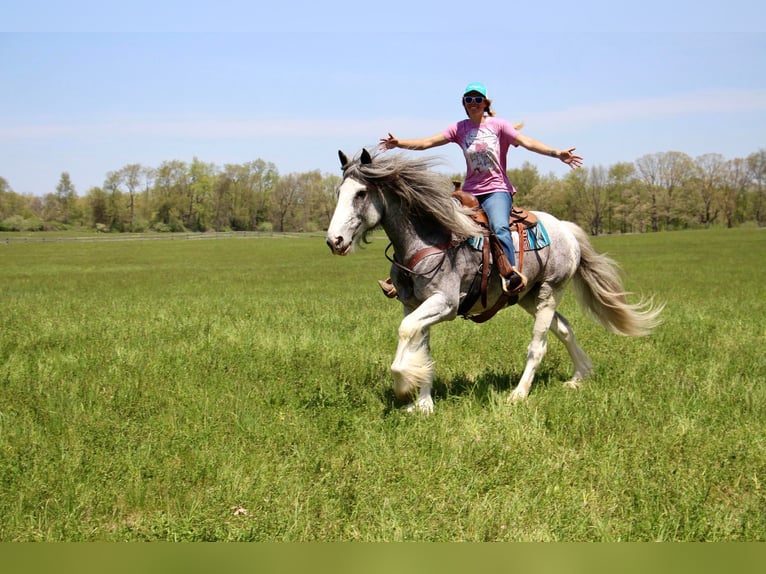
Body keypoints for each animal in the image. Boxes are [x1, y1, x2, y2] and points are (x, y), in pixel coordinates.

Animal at [328, 151, 664, 416]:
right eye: (339, 192)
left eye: (360, 194)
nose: (334, 241)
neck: (430, 239)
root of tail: (566, 229)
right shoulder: (413, 305)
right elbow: (419, 344)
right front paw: (423, 403)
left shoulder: (444, 304)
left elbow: (406, 334)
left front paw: (402, 387)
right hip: (528, 296)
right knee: (565, 329)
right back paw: (580, 376)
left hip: (549, 291)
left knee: (539, 345)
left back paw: (519, 394)